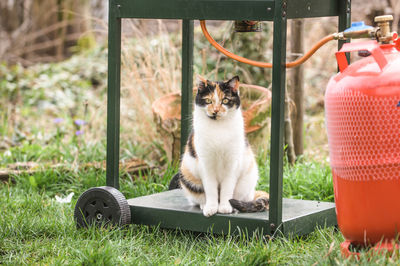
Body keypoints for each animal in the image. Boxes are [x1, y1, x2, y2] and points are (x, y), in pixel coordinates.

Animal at [178, 75, 268, 216]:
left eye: (225, 100)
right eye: (208, 100)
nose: (215, 110)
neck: (218, 128)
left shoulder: (232, 163)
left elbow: (227, 188)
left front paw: (225, 207)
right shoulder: (206, 163)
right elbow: (210, 189)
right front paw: (211, 208)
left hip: (247, 180)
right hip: (187, 176)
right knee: (198, 198)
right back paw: (204, 205)